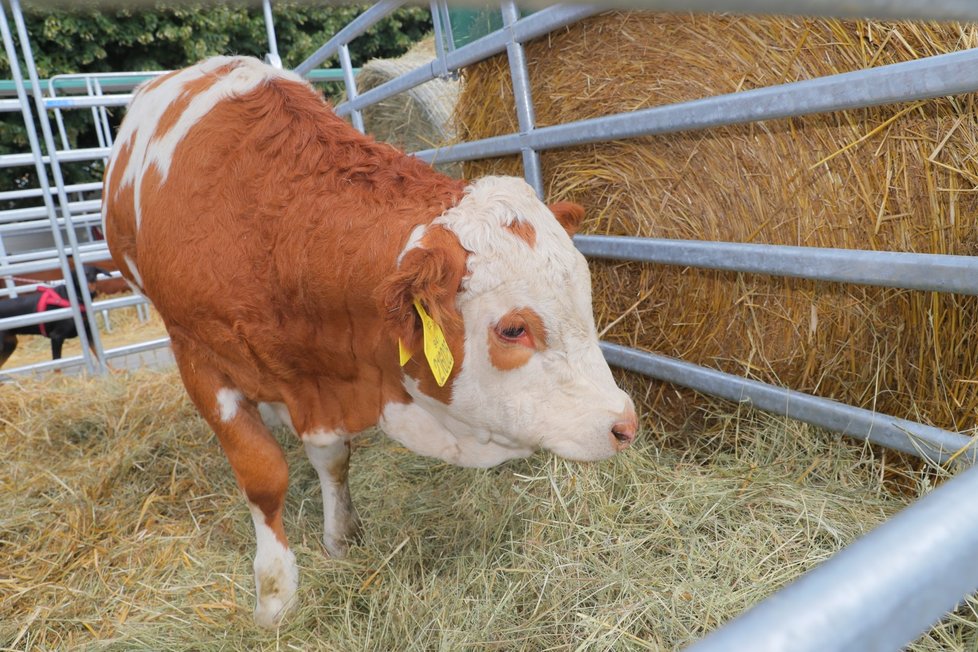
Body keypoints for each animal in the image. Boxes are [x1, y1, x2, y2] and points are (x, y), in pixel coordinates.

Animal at [103, 57, 636, 628]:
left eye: (586, 297)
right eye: (513, 328)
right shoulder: (198, 359)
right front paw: (275, 592)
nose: (624, 424)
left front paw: (341, 537)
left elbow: (333, 458)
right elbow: (263, 474)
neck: (268, 230)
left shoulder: (318, 378)